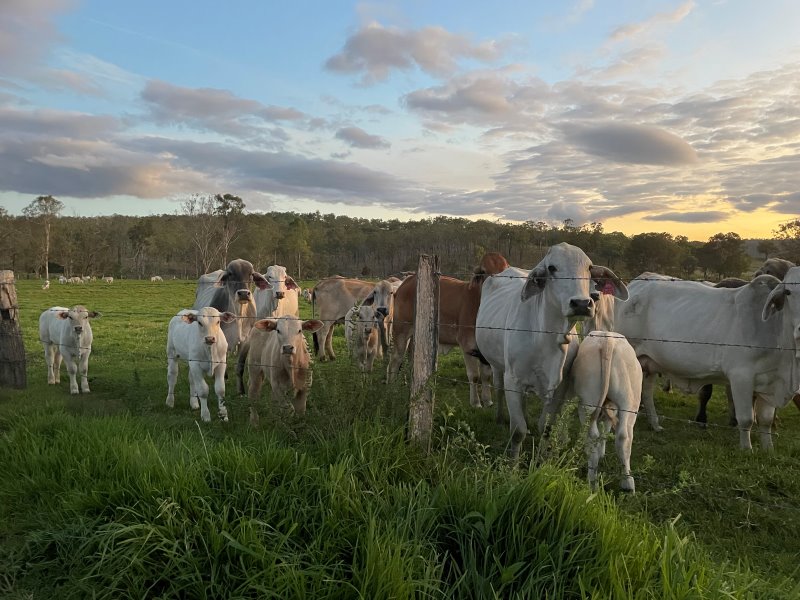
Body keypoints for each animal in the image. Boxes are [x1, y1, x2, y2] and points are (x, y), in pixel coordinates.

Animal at [386, 251, 510, 410]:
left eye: (505, 270)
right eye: (483, 271)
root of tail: (406, 282)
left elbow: (486, 376)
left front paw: (487, 401)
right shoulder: (468, 345)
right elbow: (474, 376)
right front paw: (475, 403)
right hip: (401, 330)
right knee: (396, 359)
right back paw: (392, 387)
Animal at [472, 241, 628, 458]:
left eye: (589, 268)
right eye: (552, 268)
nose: (581, 303)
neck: (548, 337)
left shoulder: (559, 389)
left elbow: (546, 428)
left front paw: (541, 458)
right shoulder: (513, 380)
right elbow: (518, 431)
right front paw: (513, 462)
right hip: (497, 366)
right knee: (499, 389)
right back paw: (499, 417)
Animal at [572, 332, 640, 492]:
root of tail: (607, 340)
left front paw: (601, 451)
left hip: (587, 402)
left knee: (592, 436)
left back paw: (592, 482)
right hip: (628, 402)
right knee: (623, 437)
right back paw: (628, 483)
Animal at [612, 274, 800, 450]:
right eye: (788, 292)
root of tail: (637, 283)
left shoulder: (770, 380)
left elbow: (766, 420)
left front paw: (768, 449)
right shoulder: (741, 377)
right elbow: (746, 419)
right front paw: (746, 449)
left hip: (648, 362)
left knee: (646, 391)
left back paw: (655, 424)